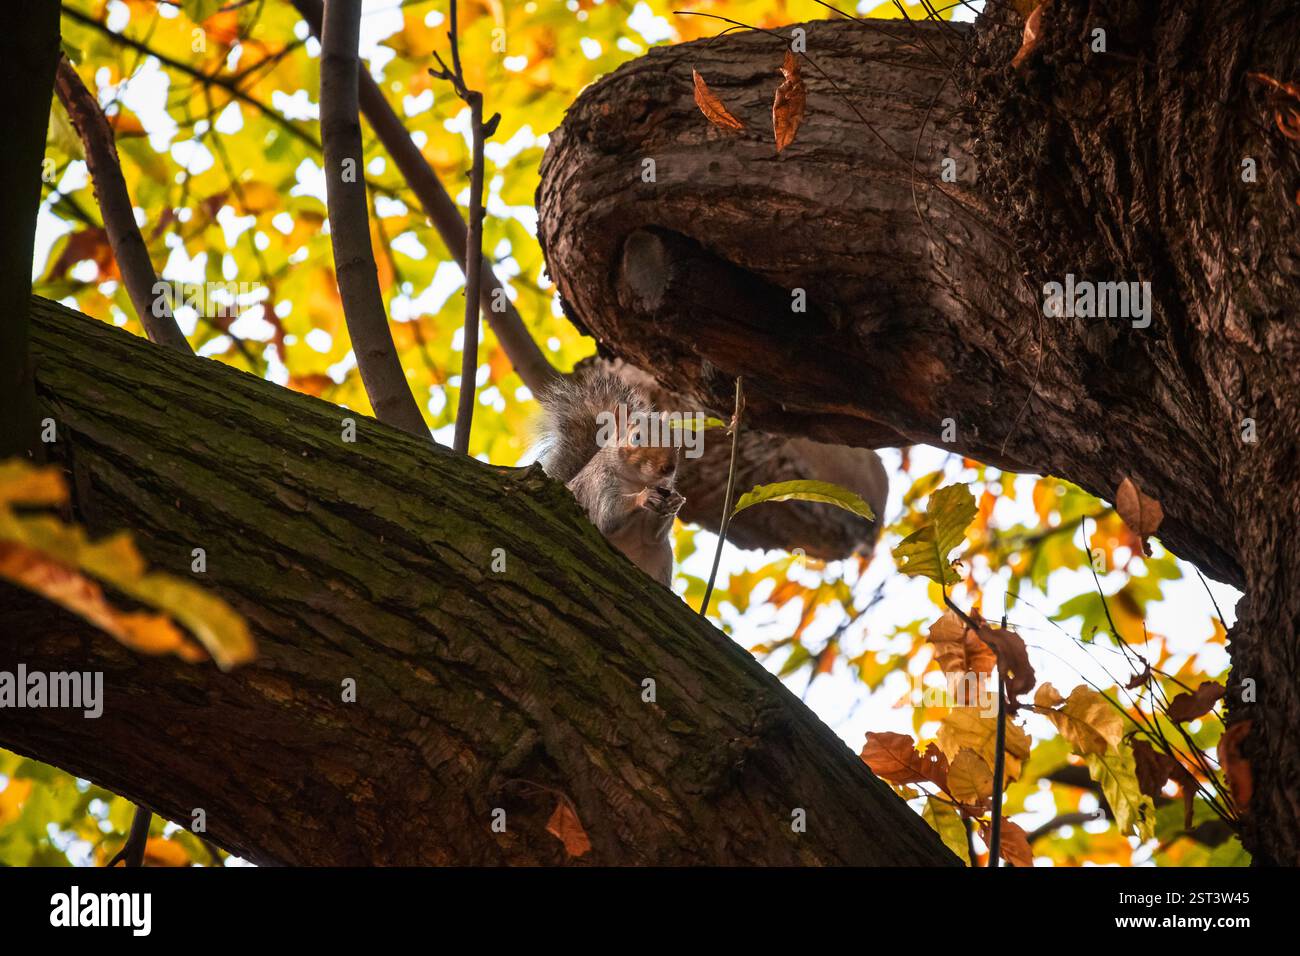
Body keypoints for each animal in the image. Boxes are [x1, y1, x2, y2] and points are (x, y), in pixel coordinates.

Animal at [536, 368, 684, 586]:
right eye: (636, 437)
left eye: (677, 442)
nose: (669, 468)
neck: (637, 482)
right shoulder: (598, 484)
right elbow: (608, 516)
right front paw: (643, 497)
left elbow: (653, 536)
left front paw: (674, 502)